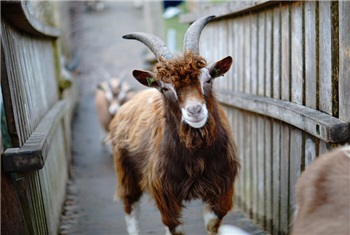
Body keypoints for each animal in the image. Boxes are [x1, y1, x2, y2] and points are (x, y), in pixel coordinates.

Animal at [110, 15, 241, 234]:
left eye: (207, 79)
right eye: (165, 88)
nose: (195, 111)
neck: (197, 155)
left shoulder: (223, 185)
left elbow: (212, 223)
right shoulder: (165, 192)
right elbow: (174, 226)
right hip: (125, 170)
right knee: (130, 206)